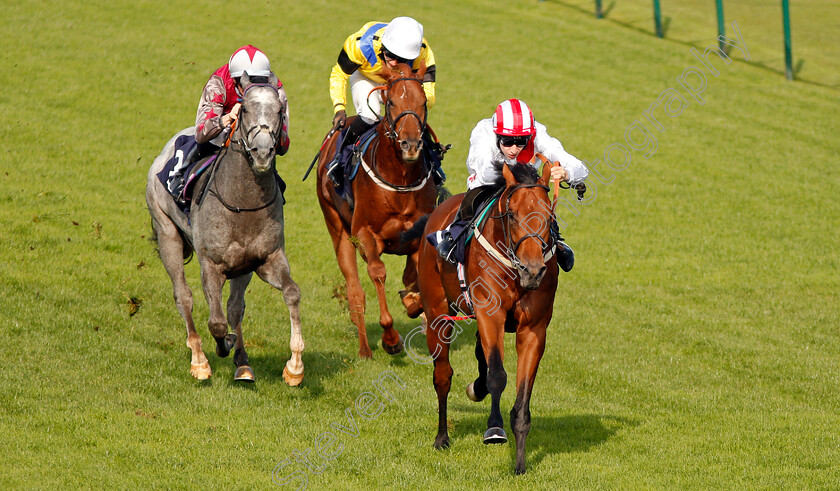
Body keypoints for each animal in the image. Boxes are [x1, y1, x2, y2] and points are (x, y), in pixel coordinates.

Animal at [147, 73, 306, 386]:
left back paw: (242, 364)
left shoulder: (267, 260)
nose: (262, 153)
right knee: (184, 297)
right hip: (166, 231)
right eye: (245, 111)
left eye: (280, 111)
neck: (243, 201)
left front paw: (294, 366)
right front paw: (222, 346)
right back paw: (199, 360)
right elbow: (217, 323)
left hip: (242, 267)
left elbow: (291, 293)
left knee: (234, 307)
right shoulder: (211, 265)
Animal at [314, 63, 434, 360]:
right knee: (355, 291)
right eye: (391, 102)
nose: (410, 145)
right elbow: (378, 272)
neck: (400, 182)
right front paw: (391, 338)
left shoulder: (418, 233)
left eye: (423, 102)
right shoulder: (364, 234)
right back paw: (365, 348)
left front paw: (414, 304)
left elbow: (414, 277)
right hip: (337, 228)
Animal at [414, 162, 556, 476]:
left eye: (549, 215)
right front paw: (494, 430)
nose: (533, 270)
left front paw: (520, 464)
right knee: (442, 375)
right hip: (437, 314)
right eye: (512, 214)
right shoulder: (491, 315)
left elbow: (521, 397)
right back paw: (442, 437)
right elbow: (497, 376)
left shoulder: (533, 329)